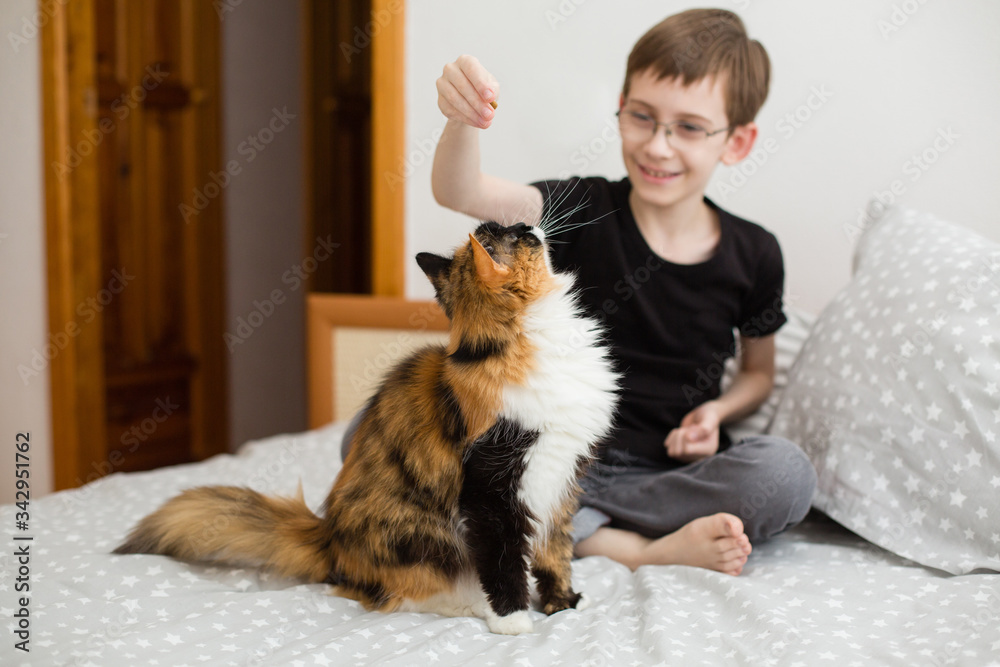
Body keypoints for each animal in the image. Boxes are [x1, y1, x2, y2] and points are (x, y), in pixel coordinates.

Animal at [115, 220, 616, 636]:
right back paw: (469, 605)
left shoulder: (561, 479)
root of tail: (328, 539)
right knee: (401, 595)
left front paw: (562, 603)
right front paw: (513, 621)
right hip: (419, 538)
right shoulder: (492, 486)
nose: (531, 222)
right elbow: (504, 560)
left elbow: (555, 551)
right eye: (513, 234)